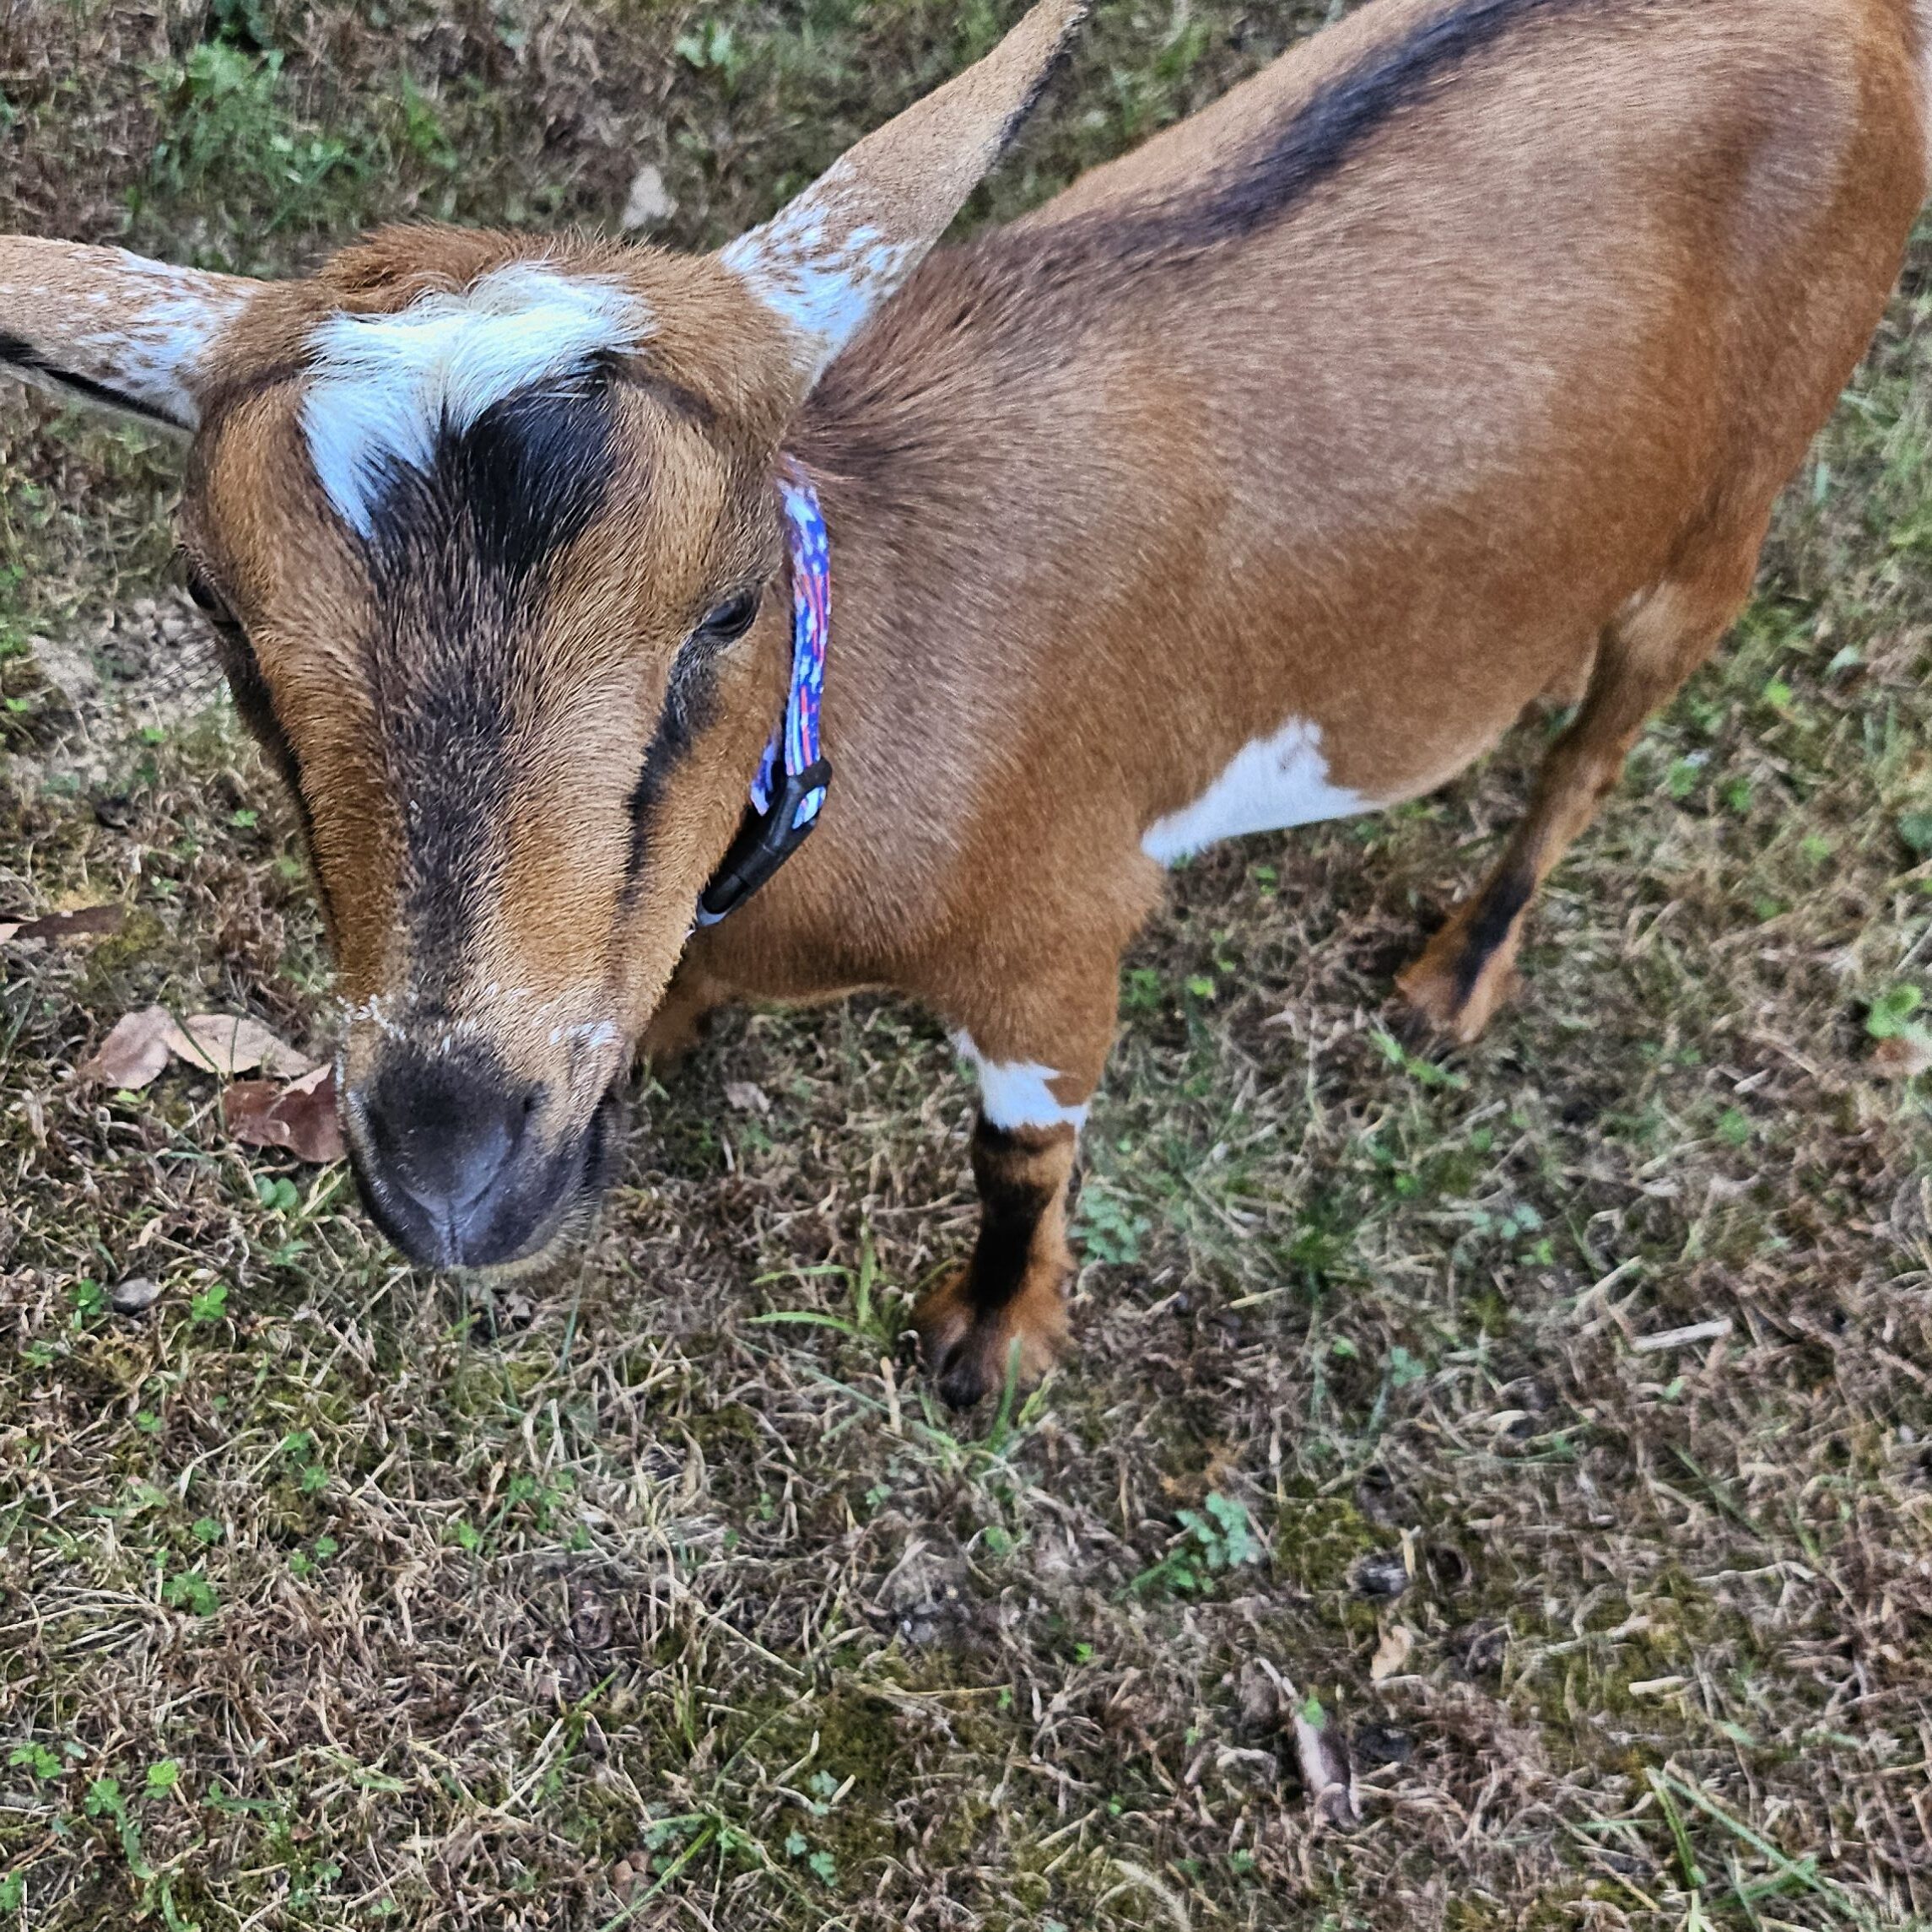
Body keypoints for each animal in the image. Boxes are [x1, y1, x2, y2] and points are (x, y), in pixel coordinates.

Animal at [2, 0, 1927, 1405]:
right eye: (216, 610)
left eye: (727, 607)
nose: (460, 1178)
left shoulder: (1060, 941)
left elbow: (1022, 1162)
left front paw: (987, 1351)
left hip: (1729, 508)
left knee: (1600, 735)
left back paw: (1459, 972)